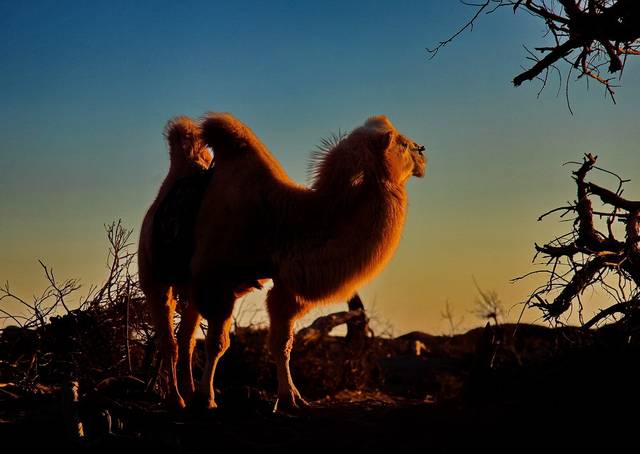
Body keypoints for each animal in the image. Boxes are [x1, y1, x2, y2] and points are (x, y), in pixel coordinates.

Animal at [139, 113, 424, 412]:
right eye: (402, 144)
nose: (422, 150)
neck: (281, 220)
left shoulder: (284, 286)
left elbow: (282, 343)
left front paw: (292, 399)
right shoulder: (215, 280)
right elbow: (218, 343)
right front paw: (207, 399)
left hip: (190, 287)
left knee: (186, 340)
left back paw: (188, 392)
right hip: (154, 277)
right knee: (169, 339)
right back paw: (176, 398)